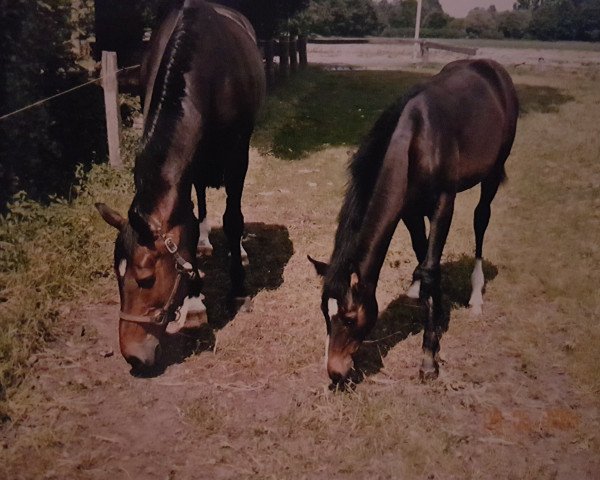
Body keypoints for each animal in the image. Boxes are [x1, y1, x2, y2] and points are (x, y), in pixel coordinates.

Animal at [95, 0, 264, 370]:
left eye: (145, 278)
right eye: (115, 275)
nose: (133, 354)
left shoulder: (238, 156)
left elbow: (233, 219)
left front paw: (238, 291)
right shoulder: (187, 171)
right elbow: (185, 222)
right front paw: (196, 299)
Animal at [308, 58, 516, 384]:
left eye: (350, 318)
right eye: (323, 313)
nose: (335, 373)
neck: (417, 139)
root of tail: (493, 68)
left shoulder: (444, 203)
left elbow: (430, 268)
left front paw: (429, 358)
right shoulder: (410, 211)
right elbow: (424, 258)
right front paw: (436, 316)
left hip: (493, 173)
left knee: (481, 219)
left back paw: (476, 297)